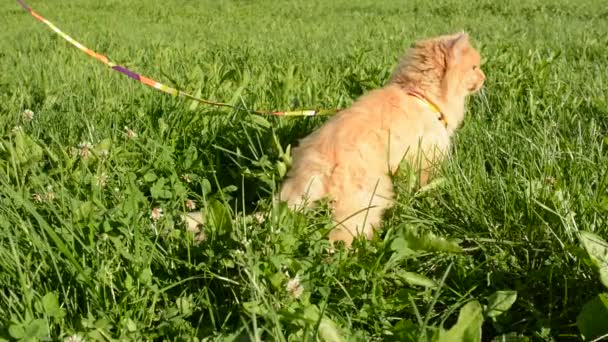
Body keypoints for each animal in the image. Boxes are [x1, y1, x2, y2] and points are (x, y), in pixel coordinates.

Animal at [280, 31, 484, 246]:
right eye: (474, 68)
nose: (484, 77)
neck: (420, 94)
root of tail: (319, 164)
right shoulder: (426, 159)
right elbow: (425, 185)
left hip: (294, 195)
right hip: (364, 202)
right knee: (341, 237)